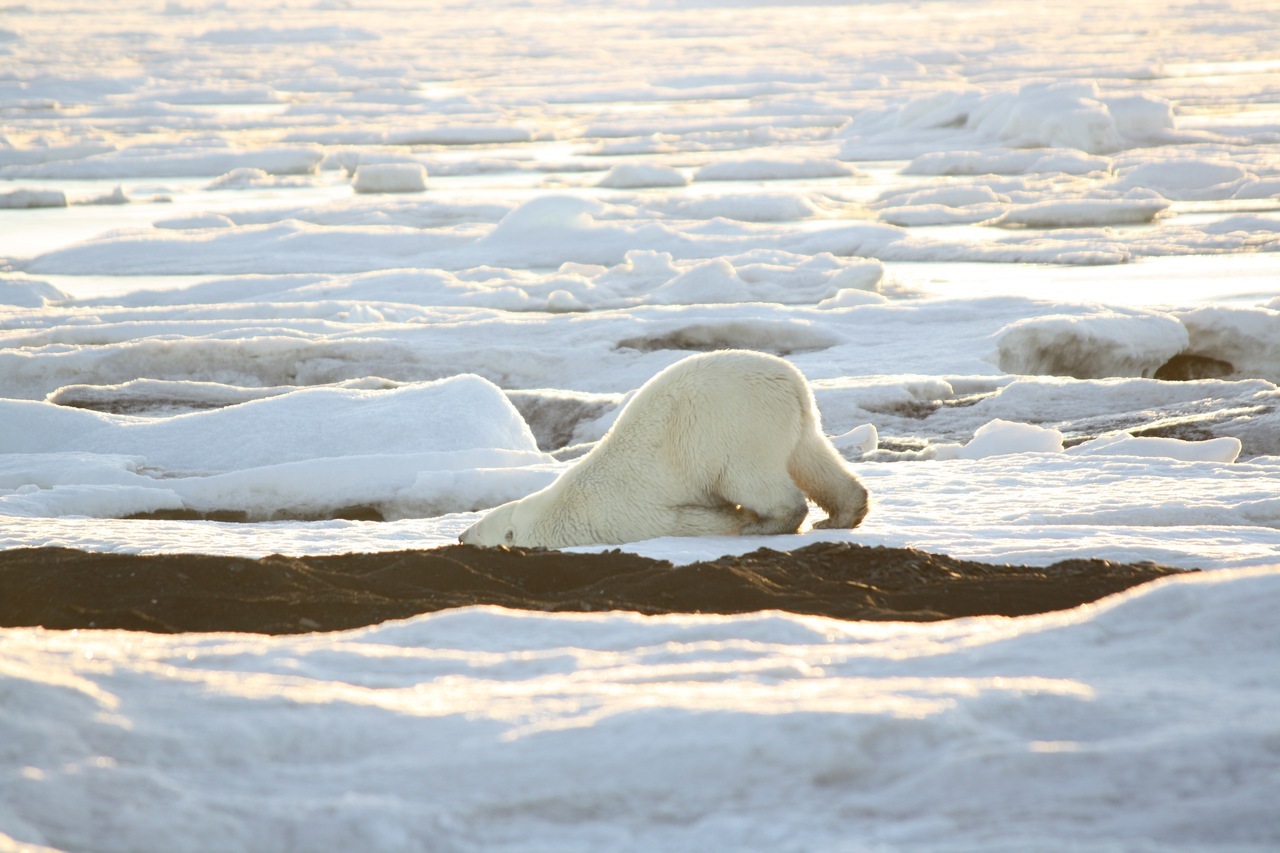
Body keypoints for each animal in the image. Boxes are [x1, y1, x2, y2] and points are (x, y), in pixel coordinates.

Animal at [455, 348, 865, 548]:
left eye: (480, 530)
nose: (459, 536)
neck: (563, 506)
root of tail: (790, 380)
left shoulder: (624, 516)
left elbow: (690, 519)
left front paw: (736, 522)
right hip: (794, 421)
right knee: (813, 458)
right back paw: (843, 514)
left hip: (735, 429)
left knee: (751, 481)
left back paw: (765, 525)